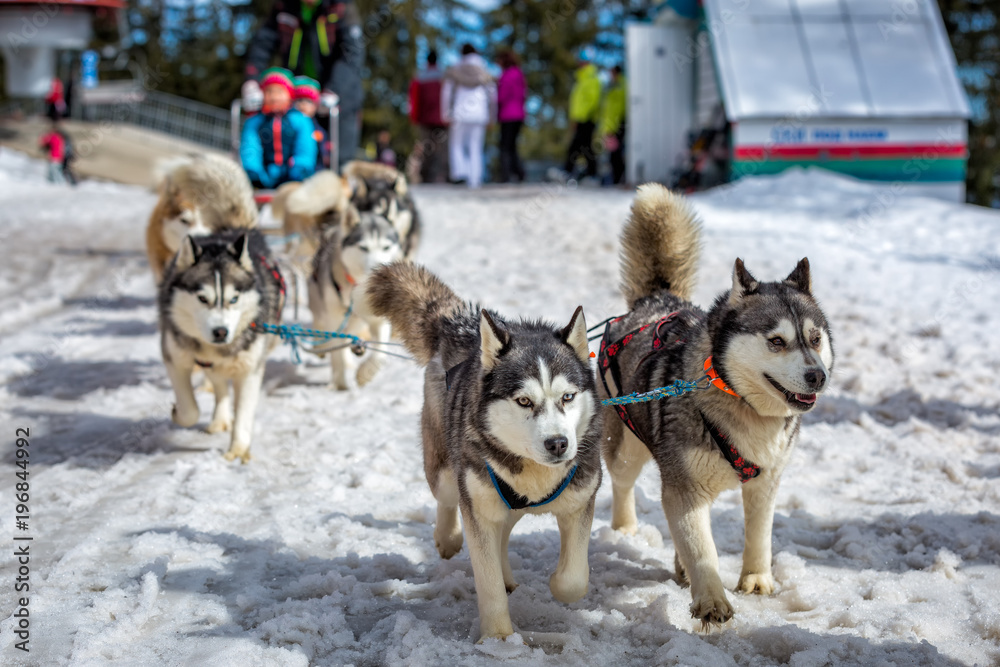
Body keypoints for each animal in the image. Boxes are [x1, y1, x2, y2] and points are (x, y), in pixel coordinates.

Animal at [158, 230, 286, 464]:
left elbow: (244, 412)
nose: (221, 331)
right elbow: (190, 410)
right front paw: (178, 413)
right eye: (202, 298)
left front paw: (238, 449)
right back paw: (220, 417)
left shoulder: (250, 369)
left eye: (234, 299)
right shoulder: (175, 359)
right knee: (218, 384)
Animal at [312, 206, 406, 388]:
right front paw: (339, 386)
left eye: (386, 247)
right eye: (363, 248)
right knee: (320, 324)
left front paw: (365, 373)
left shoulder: (379, 321)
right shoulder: (333, 319)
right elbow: (337, 357)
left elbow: (380, 353)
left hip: (356, 322)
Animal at [368, 262, 600, 640]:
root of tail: (465, 329)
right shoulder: (477, 507)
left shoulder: (580, 501)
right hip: (450, 473)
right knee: (449, 498)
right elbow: (487, 582)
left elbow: (573, 580)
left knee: (504, 531)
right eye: (524, 401)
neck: (535, 474)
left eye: (568, 397)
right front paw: (499, 637)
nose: (558, 443)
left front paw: (556, 582)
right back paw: (447, 538)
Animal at [596, 187, 832, 628]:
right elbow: (701, 548)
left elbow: (758, 533)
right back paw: (625, 530)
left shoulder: (766, 480)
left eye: (815, 338)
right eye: (776, 341)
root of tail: (656, 299)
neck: (739, 402)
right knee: (623, 482)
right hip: (626, 449)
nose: (818, 376)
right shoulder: (684, 489)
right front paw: (711, 600)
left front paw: (756, 578)